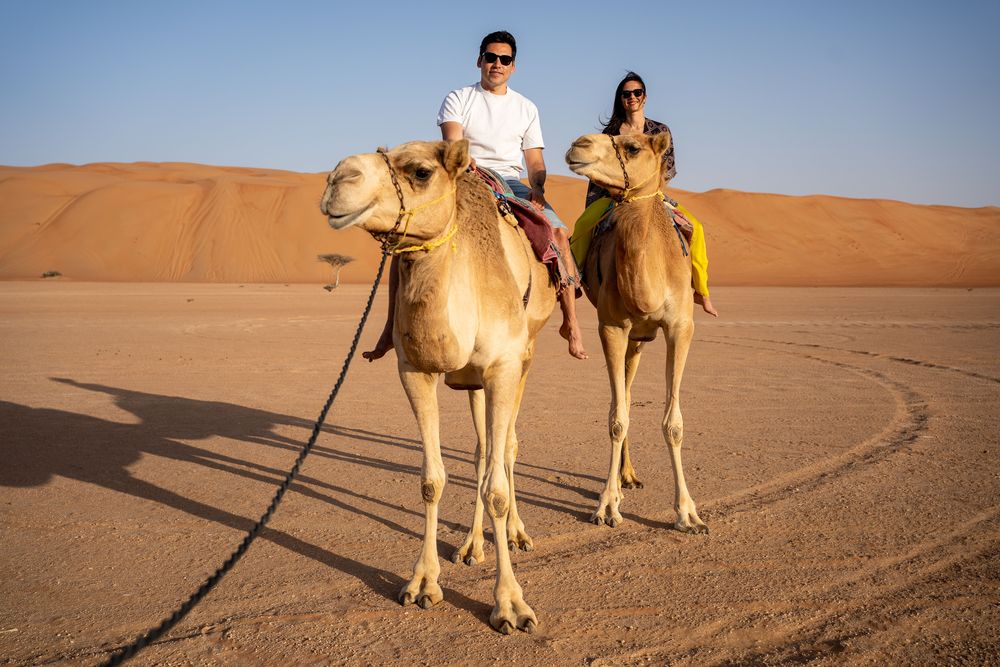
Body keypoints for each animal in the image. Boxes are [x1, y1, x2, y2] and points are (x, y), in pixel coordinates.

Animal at [320, 139, 556, 633]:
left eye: (421, 171)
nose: (337, 179)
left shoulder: (504, 365)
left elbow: (497, 488)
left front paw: (511, 605)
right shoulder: (414, 370)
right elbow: (432, 480)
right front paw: (423, 583)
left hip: (525, 358)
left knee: (506, 450)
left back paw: (517, 533)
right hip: (474, 382)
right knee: (483, 452)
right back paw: (472, 546)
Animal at [565, 131, 708, 534]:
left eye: (632, 148)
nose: (578, 144)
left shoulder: (680, 327)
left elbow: (674, 423)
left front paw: (688, 514)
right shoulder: (612, 327)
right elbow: (616, 418)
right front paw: (606, 506)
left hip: (641, 339)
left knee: (628, 391)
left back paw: (628, 476)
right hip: (629, 336)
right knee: (623, 399)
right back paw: (620, 483)